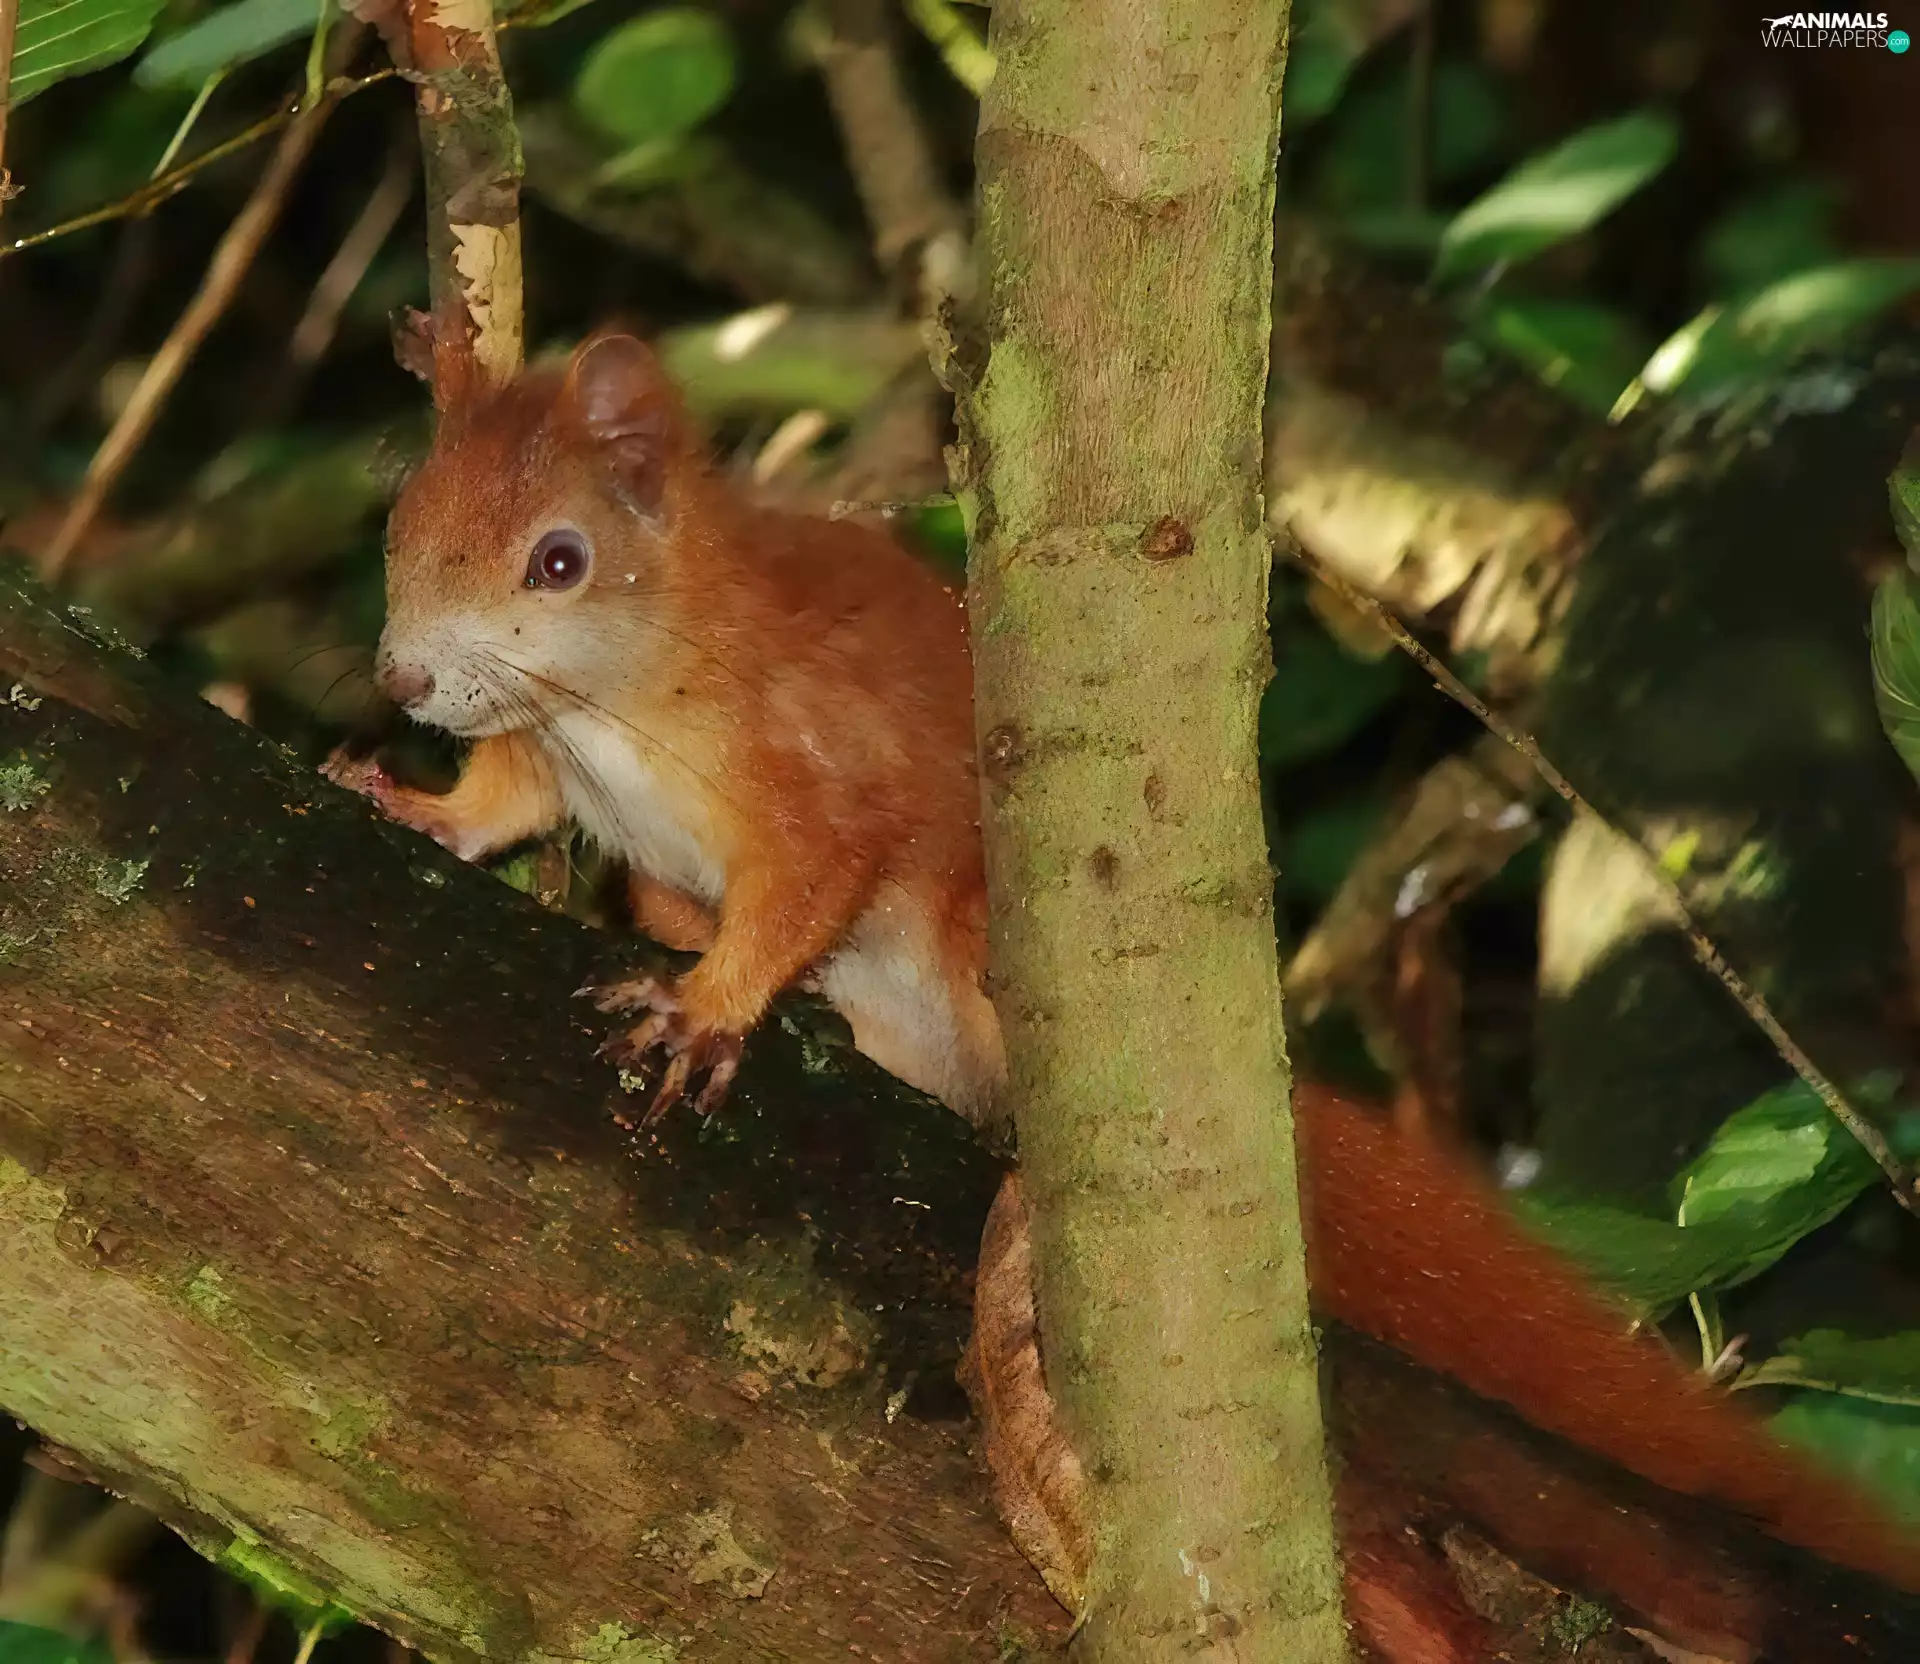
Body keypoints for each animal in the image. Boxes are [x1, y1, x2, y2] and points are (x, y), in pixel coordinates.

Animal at [330, 330, 1920, 1635]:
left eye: (558, 561)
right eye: (402, 525)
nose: (401, 680)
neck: (624, 694)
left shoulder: (815, 780)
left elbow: (802, 890)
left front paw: (707, 1005)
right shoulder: (554, 765)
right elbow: (503, 805)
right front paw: (411, 803)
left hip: (987, 934)